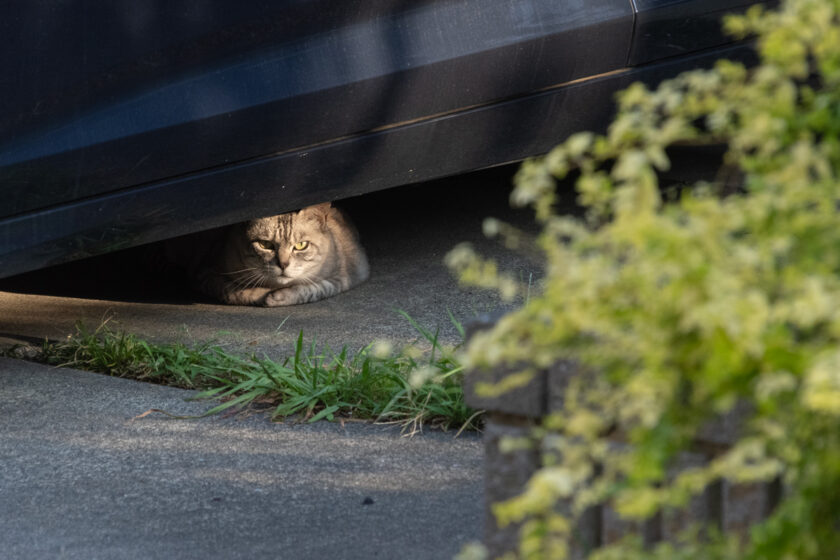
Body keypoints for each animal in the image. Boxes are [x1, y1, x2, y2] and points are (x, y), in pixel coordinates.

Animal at [164, 202, 368, 306]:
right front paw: (264, 295)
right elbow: (236, 291)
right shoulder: (205, 273)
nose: (283, 264)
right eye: (265, 245)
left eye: (301, 245)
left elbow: (313, 289)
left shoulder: (347, 275)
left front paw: (279, 297)